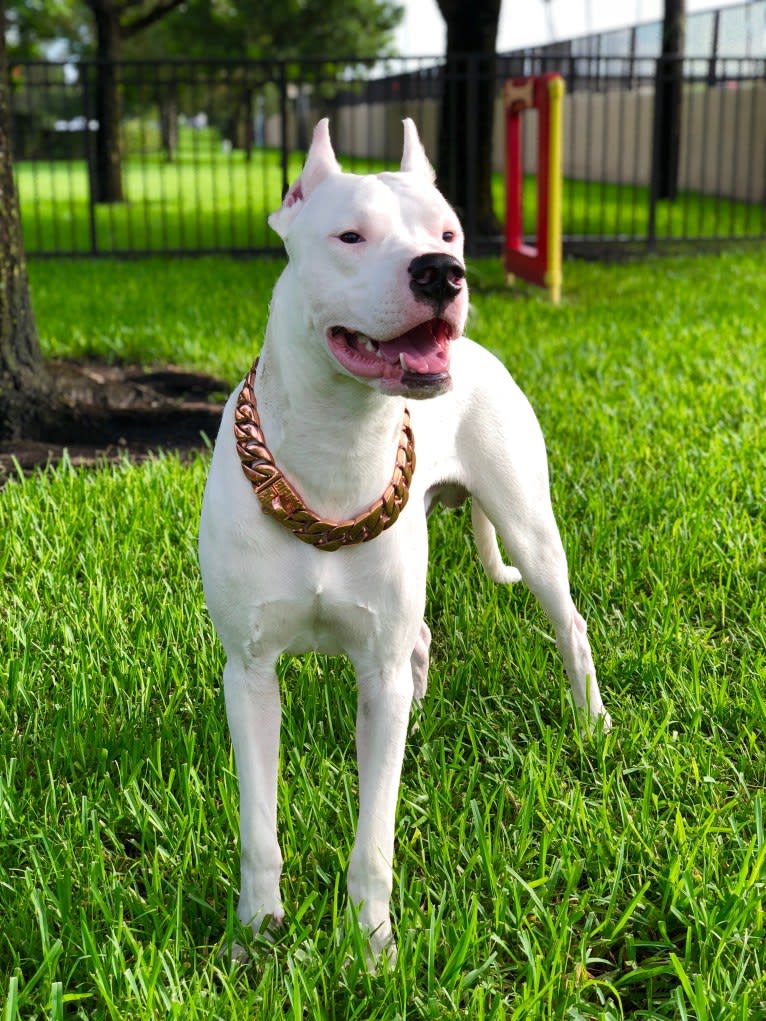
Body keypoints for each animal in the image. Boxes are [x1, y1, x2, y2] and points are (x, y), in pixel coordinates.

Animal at [201, 121, 616, 963]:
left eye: (449, 231)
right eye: (350, 236)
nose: (442, 272)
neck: (335, 455)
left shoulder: (376, 664)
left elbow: (375, 838)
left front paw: (371, 946)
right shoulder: (250, 673)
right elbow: (259, 828)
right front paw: (255, 934)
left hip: (529, 531)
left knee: (570, 623)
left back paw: (590, 717)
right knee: (420, 640)